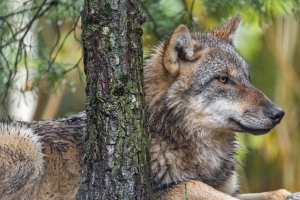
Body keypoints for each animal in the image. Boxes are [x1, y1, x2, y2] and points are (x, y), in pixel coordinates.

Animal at [0, 14, 292, 200]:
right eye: (223, 79)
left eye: (247, 78)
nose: (279, 114)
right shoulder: (155, 191)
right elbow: (194, 185)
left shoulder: (231, 189)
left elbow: (275, 192)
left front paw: (285, 193)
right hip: (27, 146)